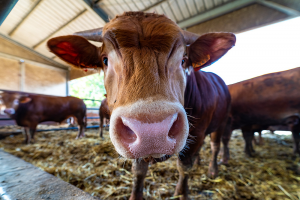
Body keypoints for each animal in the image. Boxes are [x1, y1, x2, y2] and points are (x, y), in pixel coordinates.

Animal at [47, 11, 234, 199]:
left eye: (183, 60)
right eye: (105, 60)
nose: (152, 132)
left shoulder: (197, 133)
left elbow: (183, 168)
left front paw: (182, 193)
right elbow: (139, 171)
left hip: (221, 123)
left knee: (215, 146)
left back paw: (212, 170)